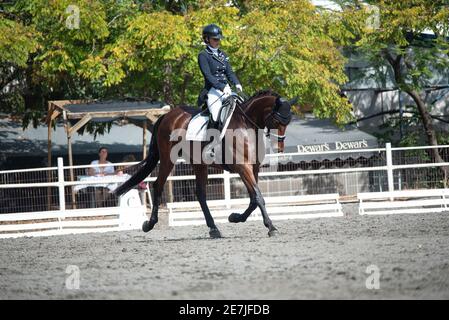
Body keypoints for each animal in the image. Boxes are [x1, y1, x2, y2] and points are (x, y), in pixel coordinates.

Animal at [114, 90, 294, 238]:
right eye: (277, 121)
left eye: (288, 122)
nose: (280, 149)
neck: (247, 125)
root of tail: (167, 115)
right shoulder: (243, 167)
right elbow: (258, 197)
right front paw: (271, 227)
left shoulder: (253, 168)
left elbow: (253, 199)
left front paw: (234, 217)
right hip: (167, 159)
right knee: (158, 185)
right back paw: (149, 224)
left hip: (199, 164)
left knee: (200, 193)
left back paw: (213, 228)